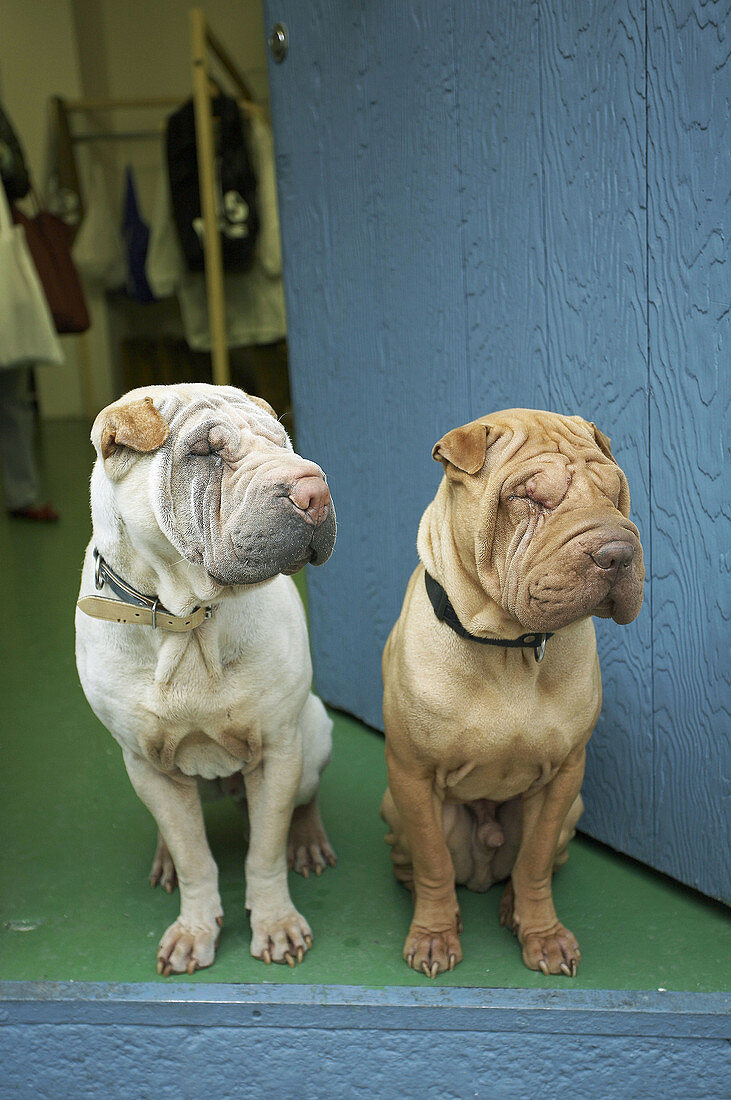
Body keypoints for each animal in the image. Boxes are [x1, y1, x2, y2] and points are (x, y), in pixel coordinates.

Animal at [74, 382, 336, 976]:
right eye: (206, 453)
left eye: (284, 443)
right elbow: (195, 855)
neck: (187, 620)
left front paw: (275, 923)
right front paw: (195, 927)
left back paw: (307, 840)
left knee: (302, 802)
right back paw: (165, 859)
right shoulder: (147, 764)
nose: (315, 489)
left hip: (312, 735)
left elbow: (264, 851)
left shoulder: (278, 751)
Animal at [382, 411, 646, 981]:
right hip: (395, 807)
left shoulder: (564, 777)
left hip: (571, 811)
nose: (618, 552)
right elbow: (434, 862)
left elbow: (535, 864)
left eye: (615, 492)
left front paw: (541, 933)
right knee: (419, 861)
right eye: (528, 496)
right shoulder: (412, 773)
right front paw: (434, 933)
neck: (508, 647)